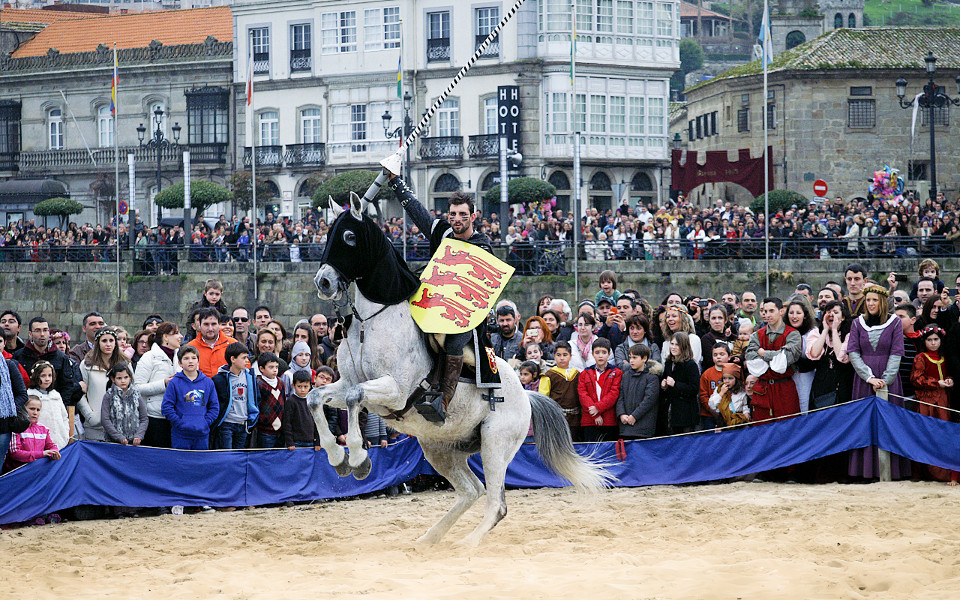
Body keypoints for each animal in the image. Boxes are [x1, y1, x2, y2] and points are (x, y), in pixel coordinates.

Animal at [304, 193, 612, 548]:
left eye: (350, 237)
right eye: (328, 234)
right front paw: (336, 457)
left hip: (494, 445)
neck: (373, 323)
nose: (323, 282)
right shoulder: (345, 385)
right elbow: (316, 397)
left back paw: (468, 543)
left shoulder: (396, 391)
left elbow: (356, 397)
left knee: (495, 503)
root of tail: (527, 397)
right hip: (439, 446)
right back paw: (429, 539)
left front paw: (357, 458)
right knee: (471, 491)